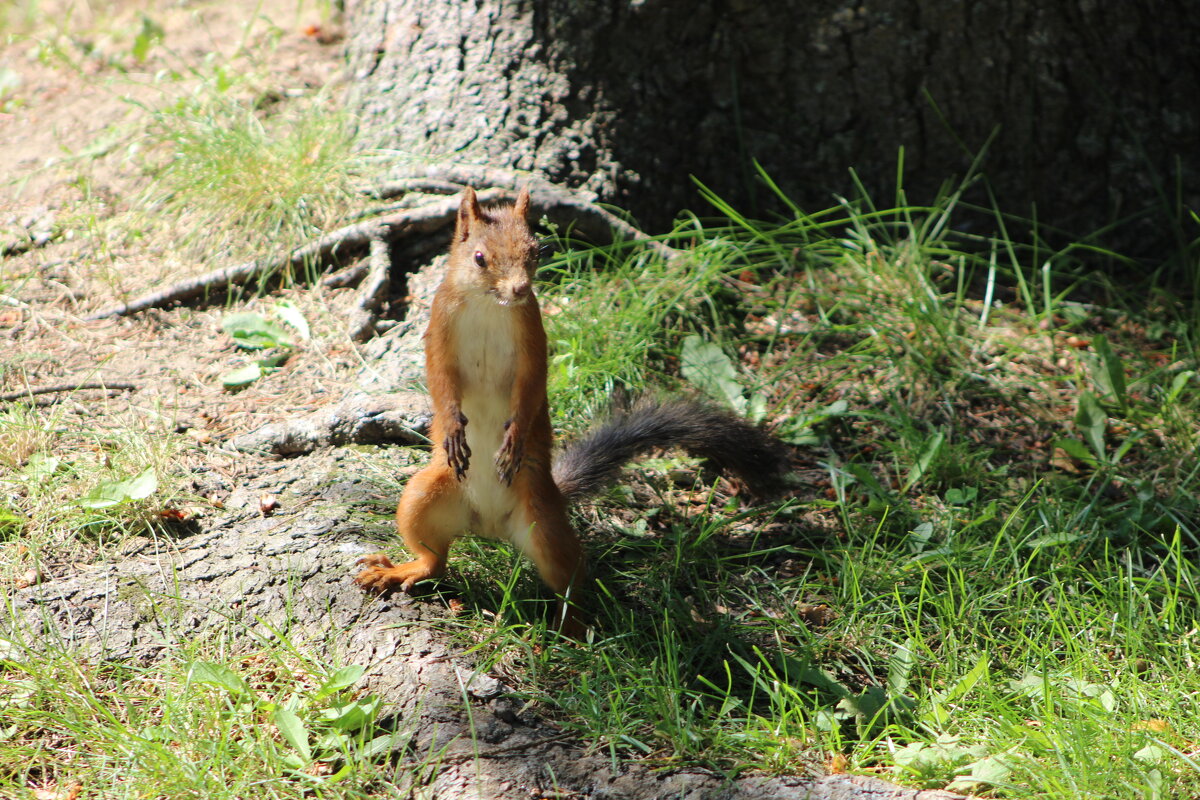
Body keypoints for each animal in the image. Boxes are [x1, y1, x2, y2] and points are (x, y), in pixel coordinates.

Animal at [352, 184, 787, 633]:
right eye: (479, 258)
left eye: (535, 251)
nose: (519, 289)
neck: (490, 306)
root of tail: (489, 527)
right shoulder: (440, 330)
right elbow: (441, 383)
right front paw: (454, 428)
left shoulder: (533, 336)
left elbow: (530, 388)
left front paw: (513, 440)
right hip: (422, 499)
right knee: (436, 560)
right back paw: (401, 571)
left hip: (545, 526)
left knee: (570, 583)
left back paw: (574, 632)